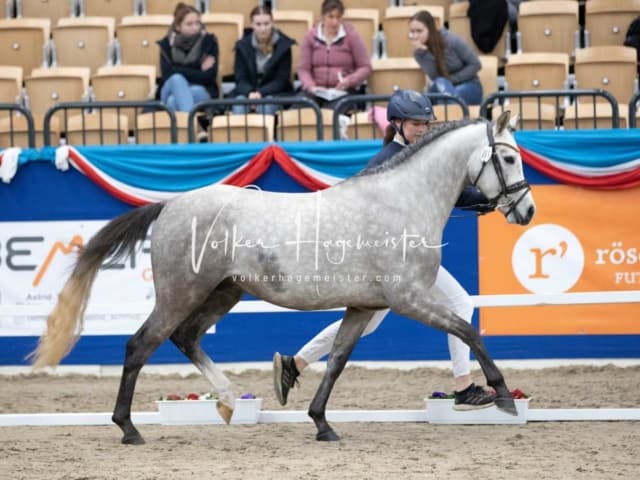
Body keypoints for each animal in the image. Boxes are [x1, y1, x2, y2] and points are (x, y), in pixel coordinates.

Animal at [31, 110, 536, 444]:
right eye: (509, 159)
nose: (526, 211)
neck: (401, 201)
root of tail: (171, 204)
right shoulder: (409, 299)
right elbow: (468, 329)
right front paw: (501, 395)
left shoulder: (365, 306)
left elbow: (337, 359)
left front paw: (321, 423)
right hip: (181, 292)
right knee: (141, 344)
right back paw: (129, 427)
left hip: (223, 292)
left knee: (186, 338)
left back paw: (228, 401)